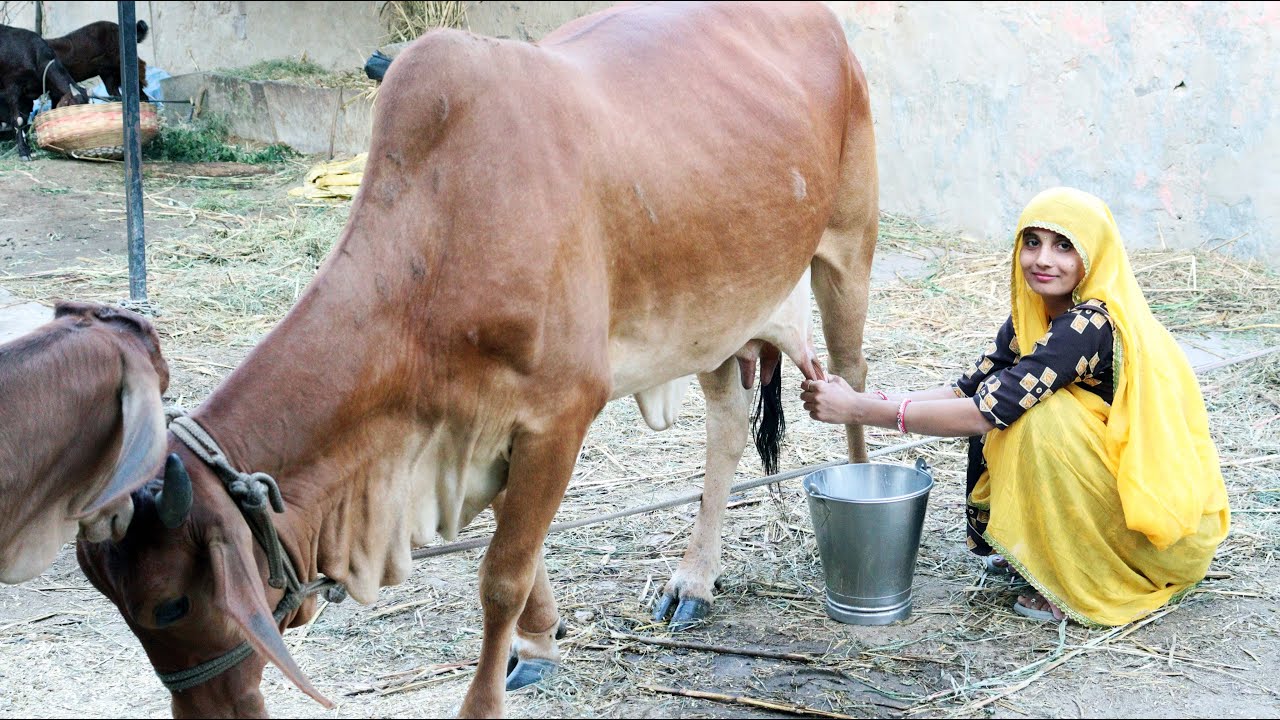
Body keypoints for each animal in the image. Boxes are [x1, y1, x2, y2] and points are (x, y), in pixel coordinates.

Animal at [75, 2, 878, 717]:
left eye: (171, 604)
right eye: (119, 605)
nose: (206, 711)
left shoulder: (558, 416)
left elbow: (502, 574)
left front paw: (487, 693)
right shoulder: (470, 423)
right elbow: (517, 550)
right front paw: (543, 640)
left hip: (847, 249)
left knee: (852, 378)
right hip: (715, 308)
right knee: (728, 426)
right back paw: (694, 581)